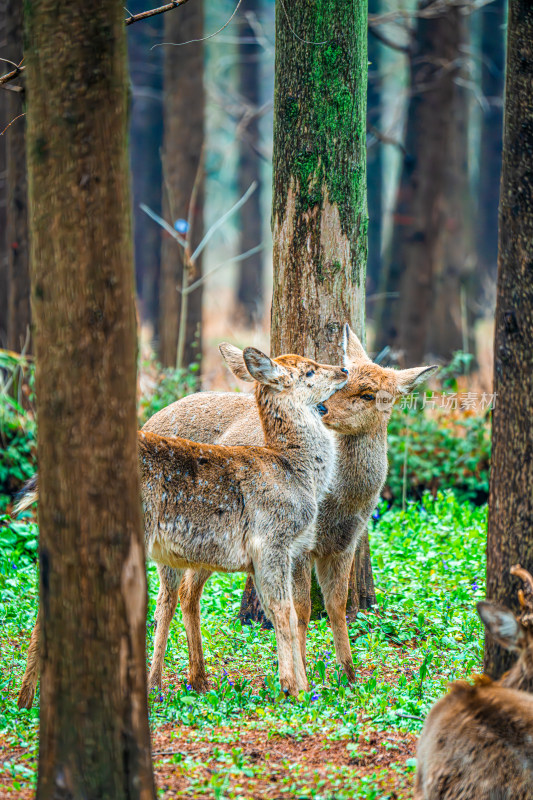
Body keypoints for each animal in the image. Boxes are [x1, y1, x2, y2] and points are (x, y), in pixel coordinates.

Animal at [16, 346, 348, 704]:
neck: (296, 473)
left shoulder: (274, 554)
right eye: (309, 371)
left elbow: (283, 613)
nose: (344, 370)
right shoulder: (272, 539)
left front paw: (297, 685)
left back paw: (26, 698)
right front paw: (295, 689)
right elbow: (284, 611)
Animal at [144, 322, 436, 692]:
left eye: (370, 394)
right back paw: (158, 681)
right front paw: (304, 677)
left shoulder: (345, 544)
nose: (324, 411)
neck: (341, 503)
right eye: (341, 382)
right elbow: (301, 608)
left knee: (188, 592)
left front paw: (349, 675)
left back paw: (199, 678)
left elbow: (336, 606)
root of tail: (152, 417)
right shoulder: (297, 547)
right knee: (167, 598)